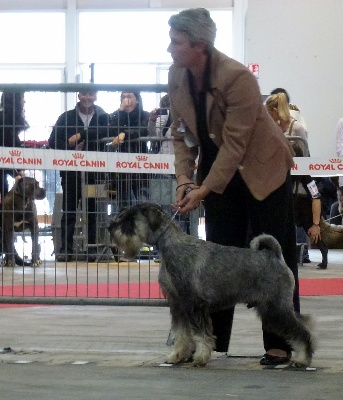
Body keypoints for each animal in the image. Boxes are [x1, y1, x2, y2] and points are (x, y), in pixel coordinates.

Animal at [110, 203, 318, 368]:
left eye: (130, 220)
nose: (111, 228)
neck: (172, 247)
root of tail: (275, 256)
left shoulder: (194, 305)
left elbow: (201, 335)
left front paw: (200, 358)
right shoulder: (178, 306)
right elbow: (182, 334)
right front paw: (176, 356)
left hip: (276, 308)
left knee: (301, 331)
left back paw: (302, 359)